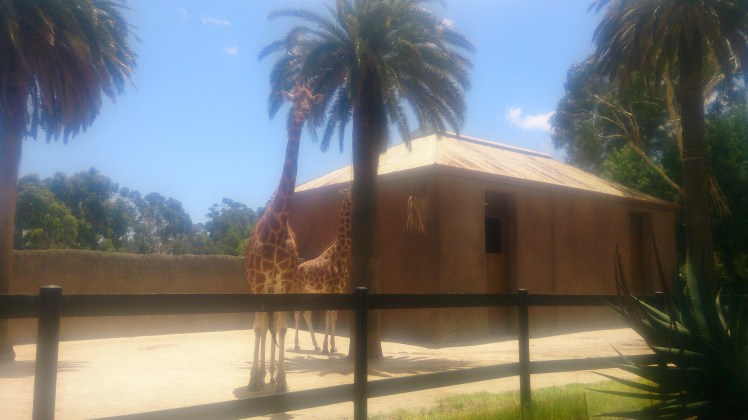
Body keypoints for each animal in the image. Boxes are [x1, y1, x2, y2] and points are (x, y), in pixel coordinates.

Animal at [293, 188, 352, 354]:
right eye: (350, 193)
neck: (342, 254)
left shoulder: (339, 291)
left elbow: (333, 316)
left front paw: (332, 346)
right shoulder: (330, 289)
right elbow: (328, 315)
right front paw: (327, 347)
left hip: (309, 292)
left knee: (306, 313)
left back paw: (316, 345)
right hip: (299, 291)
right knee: (297, 313)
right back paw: (297, 345)